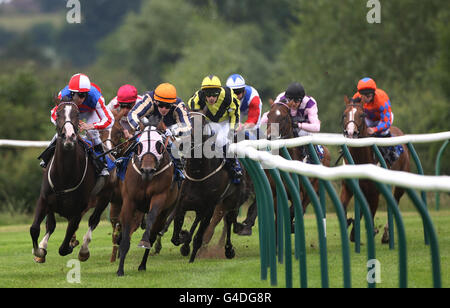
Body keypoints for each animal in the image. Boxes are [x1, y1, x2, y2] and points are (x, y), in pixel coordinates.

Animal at [30, 100, 110, 262]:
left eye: (77, 114)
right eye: (58, 113)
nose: (69, 136)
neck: (64, 174)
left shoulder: (78, 209)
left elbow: (64, 246)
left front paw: (71, 245)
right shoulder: (44, 199)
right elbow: (35, 228)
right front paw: (39, 251)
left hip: (104, 197)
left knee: (93, 220)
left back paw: (84, 250)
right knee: (51, 225)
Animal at [116, 125, 179, 276]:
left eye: (159, 145)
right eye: (140, 146)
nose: (147, 170)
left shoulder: (159, 196)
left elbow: (151, 218)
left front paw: (144, 241)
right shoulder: (129, 201)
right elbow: (126, 234)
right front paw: (120, 269)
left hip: (165, 212)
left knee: (154, 232)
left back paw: (142, 264)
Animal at [342, 96, 412, 243]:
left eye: (361, 115)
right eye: (344, 115)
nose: (351, 133)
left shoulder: (374, 192)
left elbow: (370, 211)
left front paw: (367, 231)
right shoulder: (348, 187)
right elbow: (344, 206)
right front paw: (350, 225)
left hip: (400, 183)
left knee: (395, 201)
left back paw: (386, 234)